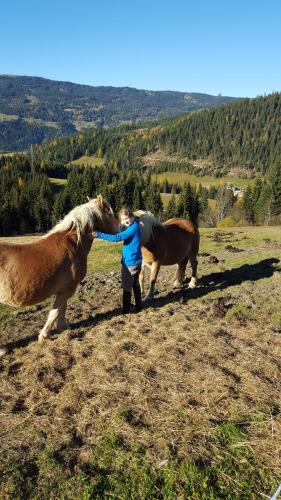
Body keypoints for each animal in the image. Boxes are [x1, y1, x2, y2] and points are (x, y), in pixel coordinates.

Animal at [0, 193, 118, 354]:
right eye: (110, 212)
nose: (122, 226)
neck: (73, 243)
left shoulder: (64, 289)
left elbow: (62, 308)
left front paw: (63, 327)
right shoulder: (67, 289)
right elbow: (55, 312)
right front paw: (44, 336)